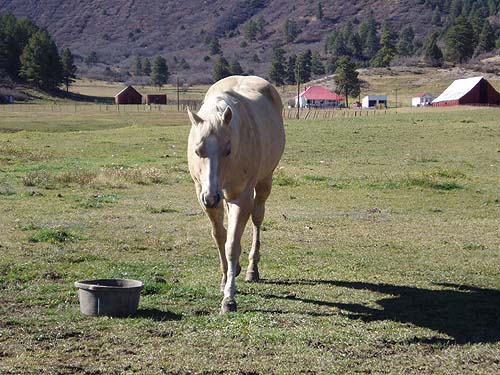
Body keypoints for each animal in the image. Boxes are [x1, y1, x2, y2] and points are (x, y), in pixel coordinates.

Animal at [187, 75, 286, 312]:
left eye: (228, 150)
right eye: (198, 151)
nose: (211, 197)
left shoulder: (241, 197)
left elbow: (232, 244)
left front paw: (229, 298)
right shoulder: (203, 194)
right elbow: (220, 236)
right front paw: (225, 279)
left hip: (263, 183)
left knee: (257, 219)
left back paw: (252, 269)